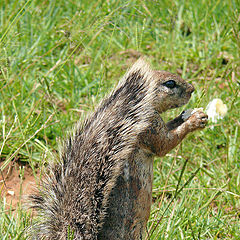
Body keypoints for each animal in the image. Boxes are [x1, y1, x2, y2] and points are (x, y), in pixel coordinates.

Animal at [28, 58, 208, 240]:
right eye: (170, 83)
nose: (192, 89)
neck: (147, 106)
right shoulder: (149, 128)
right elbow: (164, 145)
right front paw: (195, 120)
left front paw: (186, 115)